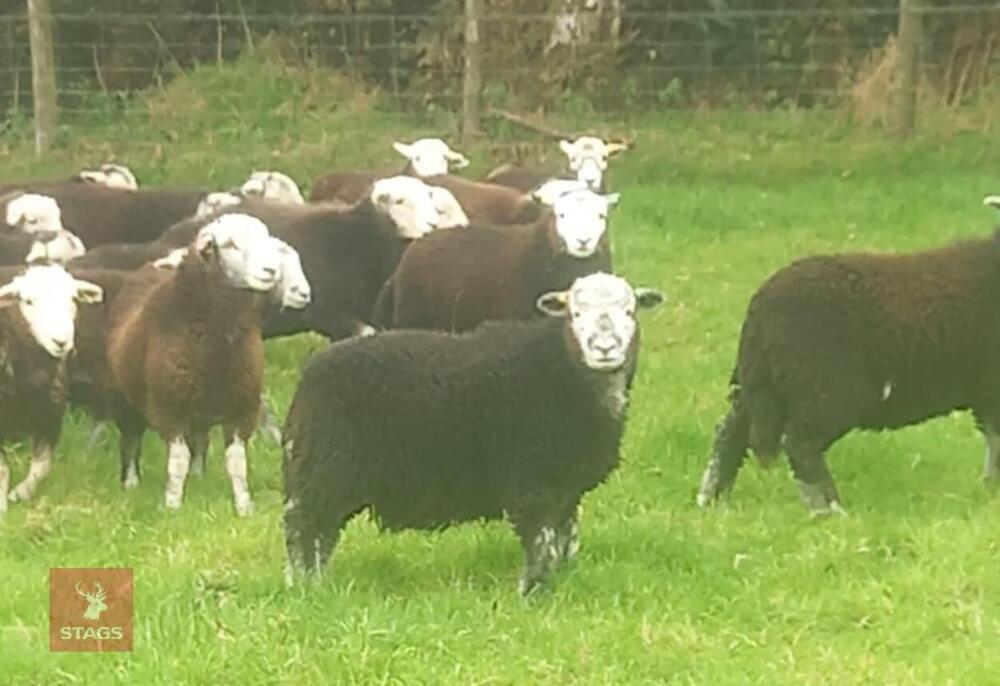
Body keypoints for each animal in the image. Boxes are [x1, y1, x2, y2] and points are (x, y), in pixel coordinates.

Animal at [0, 264, 103, 513]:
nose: (61, 341)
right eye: (28, 301)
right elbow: (2, 470)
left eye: (74, 298)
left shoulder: (51, 413)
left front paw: (20, 494)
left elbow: (42, 466)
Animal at [106, 214, 286, 514]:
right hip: (124, 401)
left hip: (201, 408)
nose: (271, 271)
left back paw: (199, 476)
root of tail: (159, 263)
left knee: (200, 441)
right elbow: (178, 460)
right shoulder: (170, 407)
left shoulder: (243, 407)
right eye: (230, 244)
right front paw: (172, 505)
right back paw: (130, 482)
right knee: (131, 440)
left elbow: (237, 463)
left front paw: (243, 506)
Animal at [282, 272, 663, 593]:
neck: (564, 371)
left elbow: (565, 539)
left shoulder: (566, 488)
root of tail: (310, 375)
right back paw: (306, 587)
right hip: (325, 467)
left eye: (630, 312)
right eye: (576, 314)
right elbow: (541, 544)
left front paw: (562, 581)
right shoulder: (533, 482)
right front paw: (533, 592)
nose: (605, 348)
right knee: (305, 529)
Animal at [696, 231, 1000, 516]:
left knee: (729, 434)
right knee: (800, 445)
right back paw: (830, 510)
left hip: (762, 385)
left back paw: (712, 500)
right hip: (825, 391)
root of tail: (761, 309)